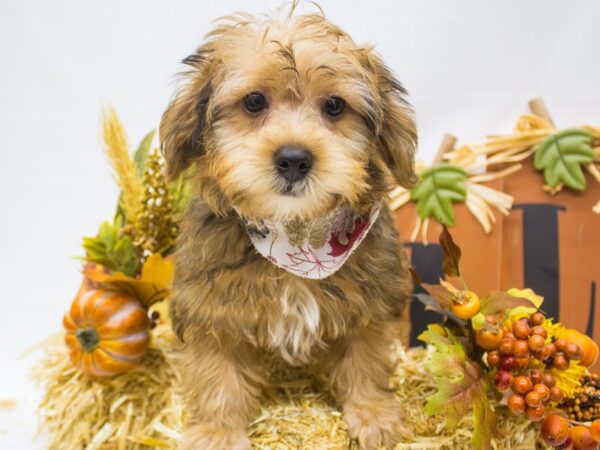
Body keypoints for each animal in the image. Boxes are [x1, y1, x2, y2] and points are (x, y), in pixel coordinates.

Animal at [158, 7, 418, 450]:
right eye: (254, 101)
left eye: (335, 106)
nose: (294, 159)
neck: (295, 233)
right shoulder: (212, 307)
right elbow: (217, 374)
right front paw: (217, 432)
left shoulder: (369, 298)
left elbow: (365, 357)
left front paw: (372, 413)